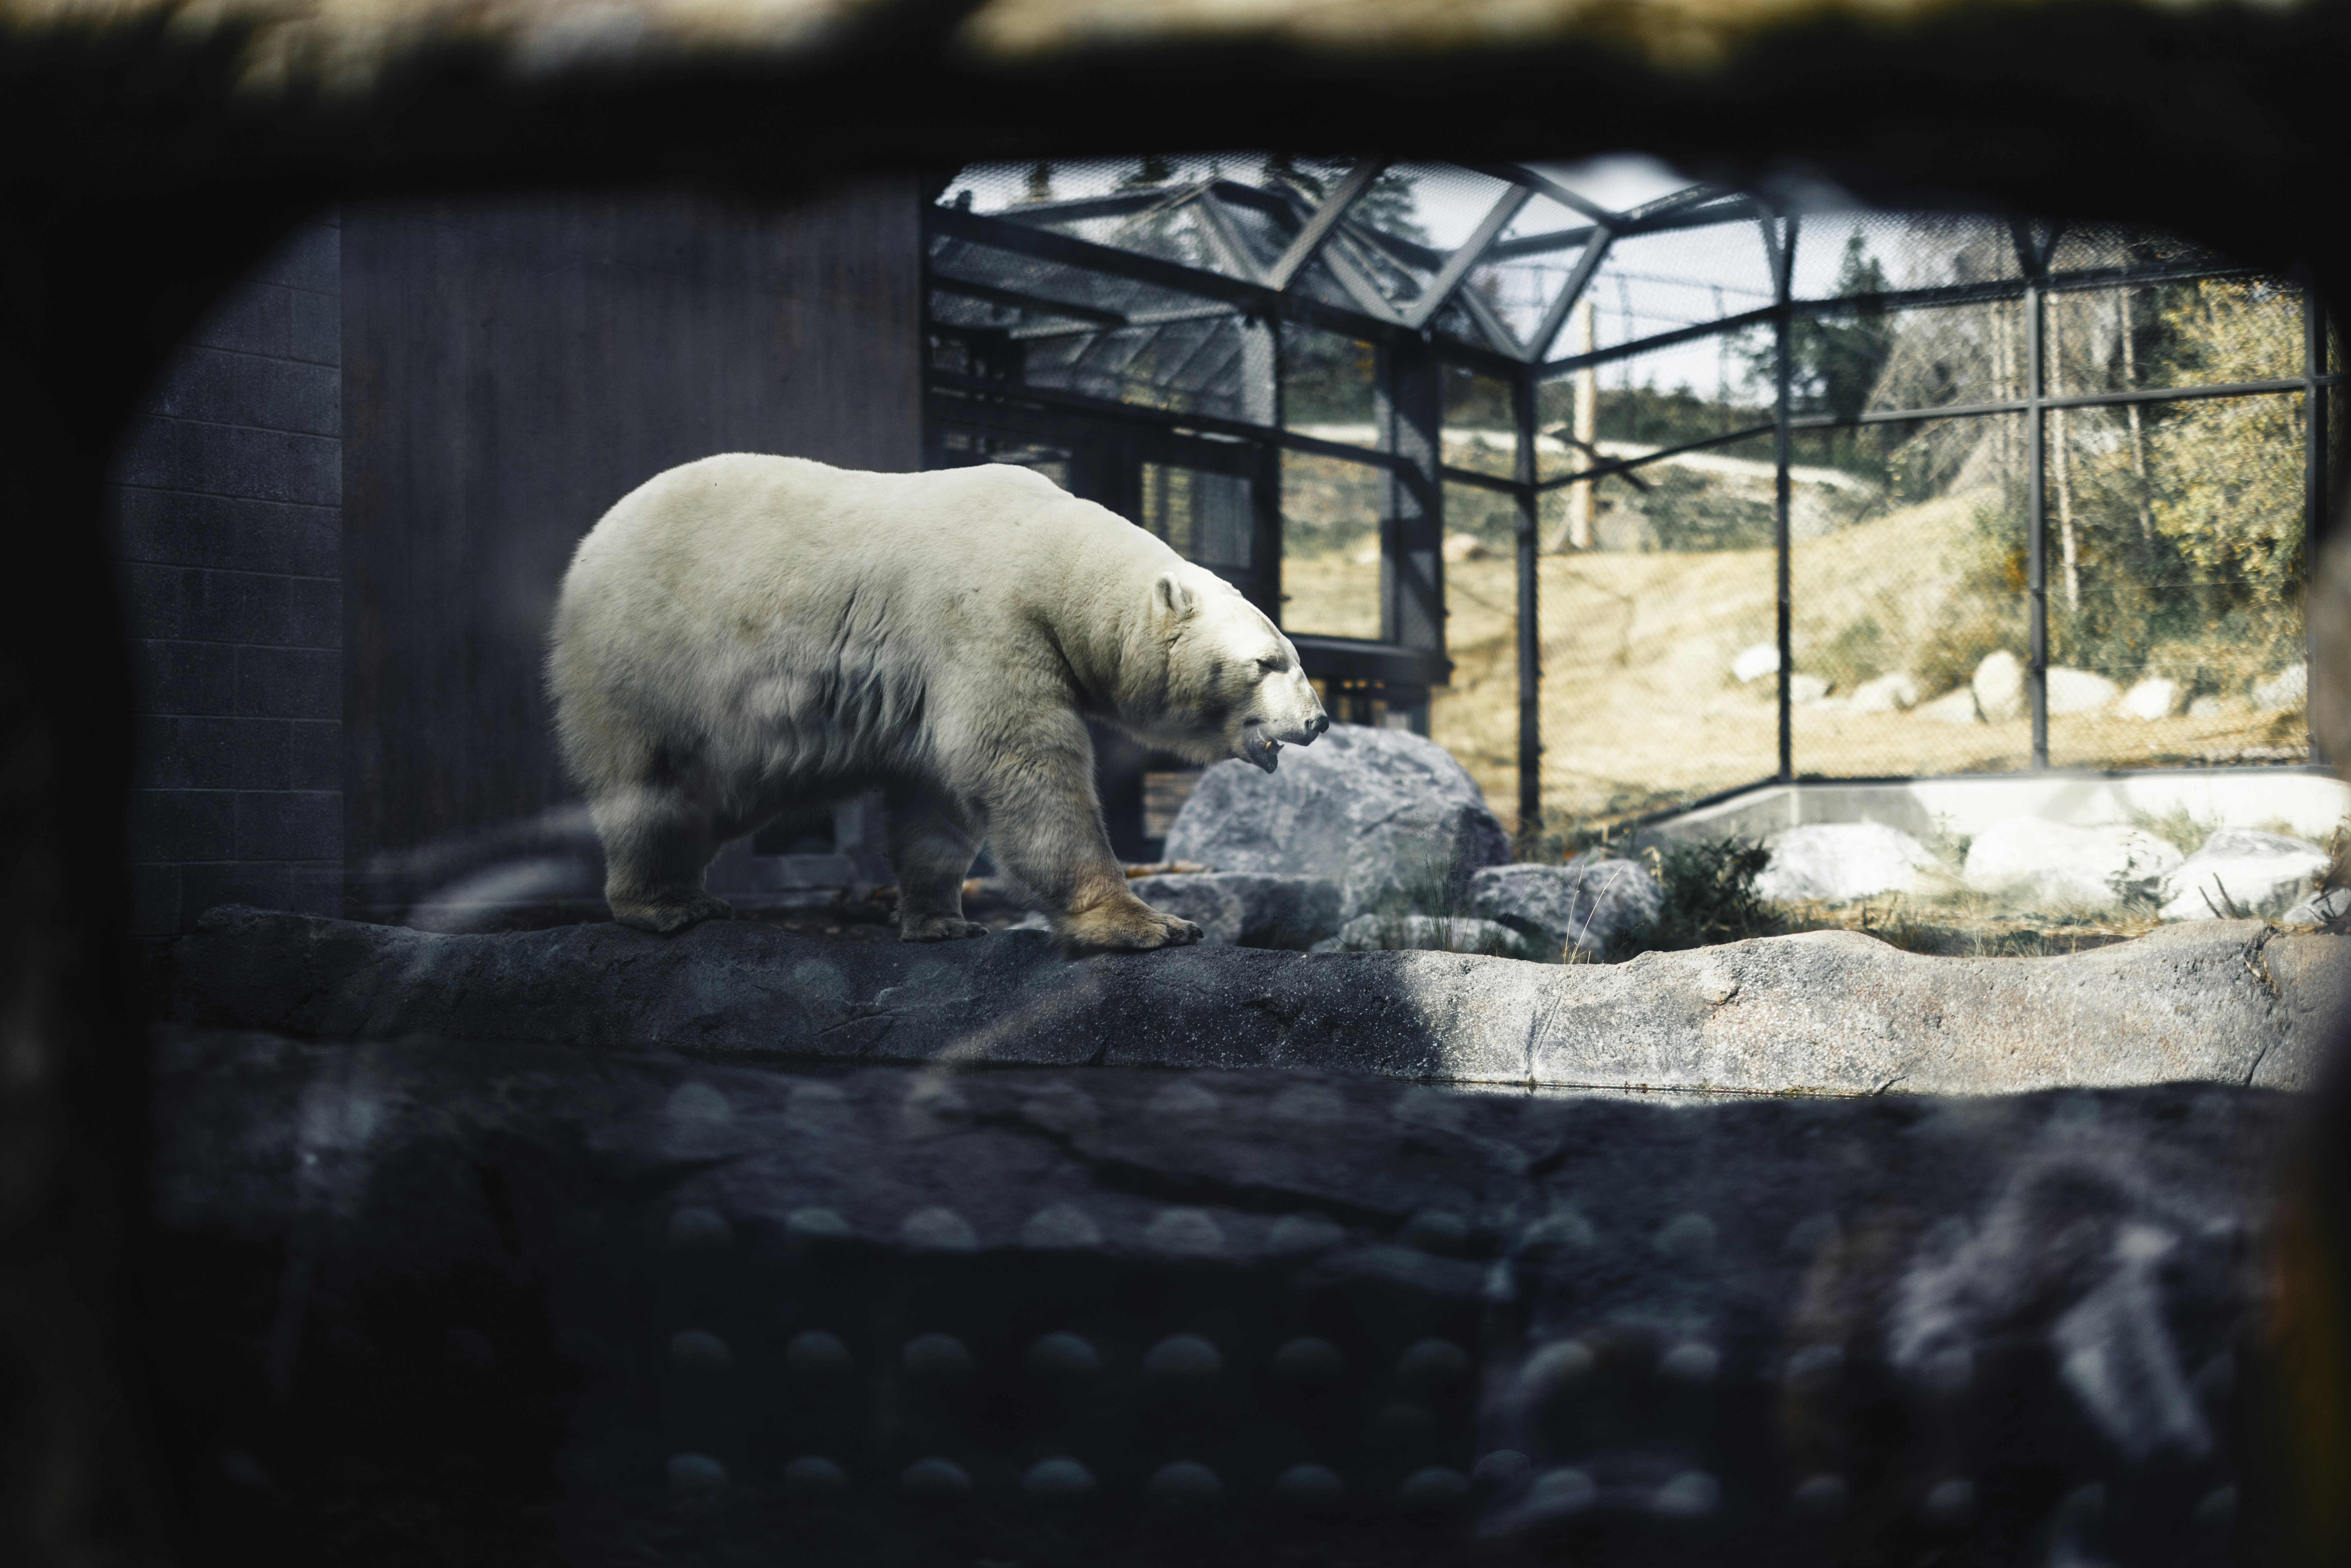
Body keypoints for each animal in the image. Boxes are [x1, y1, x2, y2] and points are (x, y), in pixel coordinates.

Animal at [546, 454, 1329, 947]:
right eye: (1266, 661)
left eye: (1294, 656)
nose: (1318, 720)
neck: (1051, 556)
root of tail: (591, 542)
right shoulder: (984, 619)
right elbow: (1020, 762)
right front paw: (1149, 923)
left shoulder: (938, 671)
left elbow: (938, 794)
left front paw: (941, 919)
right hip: (649, 658)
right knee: (653, 784)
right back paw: (668, 904)